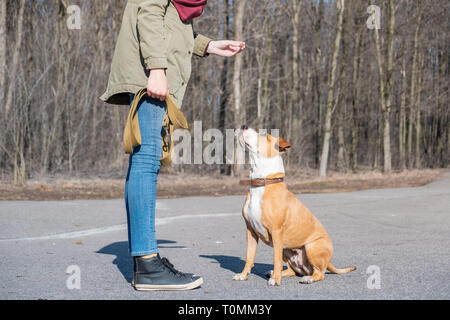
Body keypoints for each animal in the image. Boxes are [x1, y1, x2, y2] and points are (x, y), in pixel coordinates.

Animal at [232, 126, 356, 286]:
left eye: (264, 134)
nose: (243, 126)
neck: (263, 182)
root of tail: (328, 262)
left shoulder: (276, 232)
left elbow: (275, 259)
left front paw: (276, 280)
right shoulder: (250, 231)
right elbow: (249, 256)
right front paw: (243, 275)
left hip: (311, 247)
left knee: (319, 273)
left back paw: (307, 278)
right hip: (287, 249)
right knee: (292, 270)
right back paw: (274, 273)